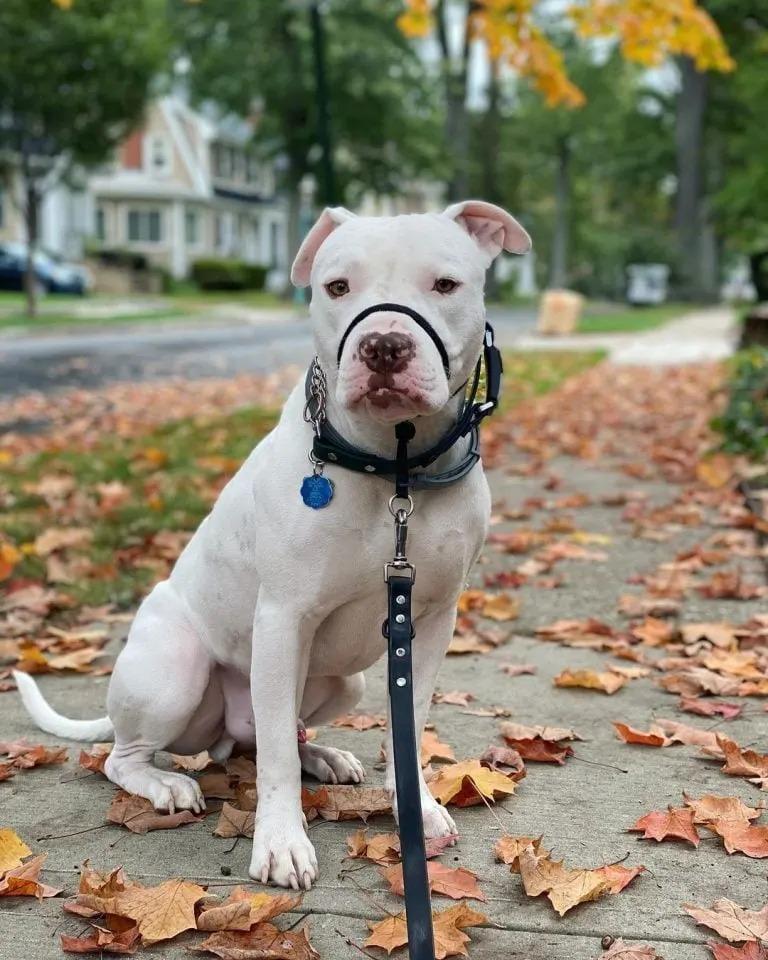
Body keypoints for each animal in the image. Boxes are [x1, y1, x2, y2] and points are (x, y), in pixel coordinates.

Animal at [16, 199, 528, 888]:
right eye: (336, 287)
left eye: (445, 284)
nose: (384, 345)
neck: (393, 466)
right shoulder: (285, 618)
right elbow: (278, 761)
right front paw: (282, 842)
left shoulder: (431, 622)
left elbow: (409, 726)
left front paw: (414, 810)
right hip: (175, 671)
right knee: (132, 756)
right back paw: (164, 783)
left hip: (345, 683)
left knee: (269, 734)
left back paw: (326, 757)